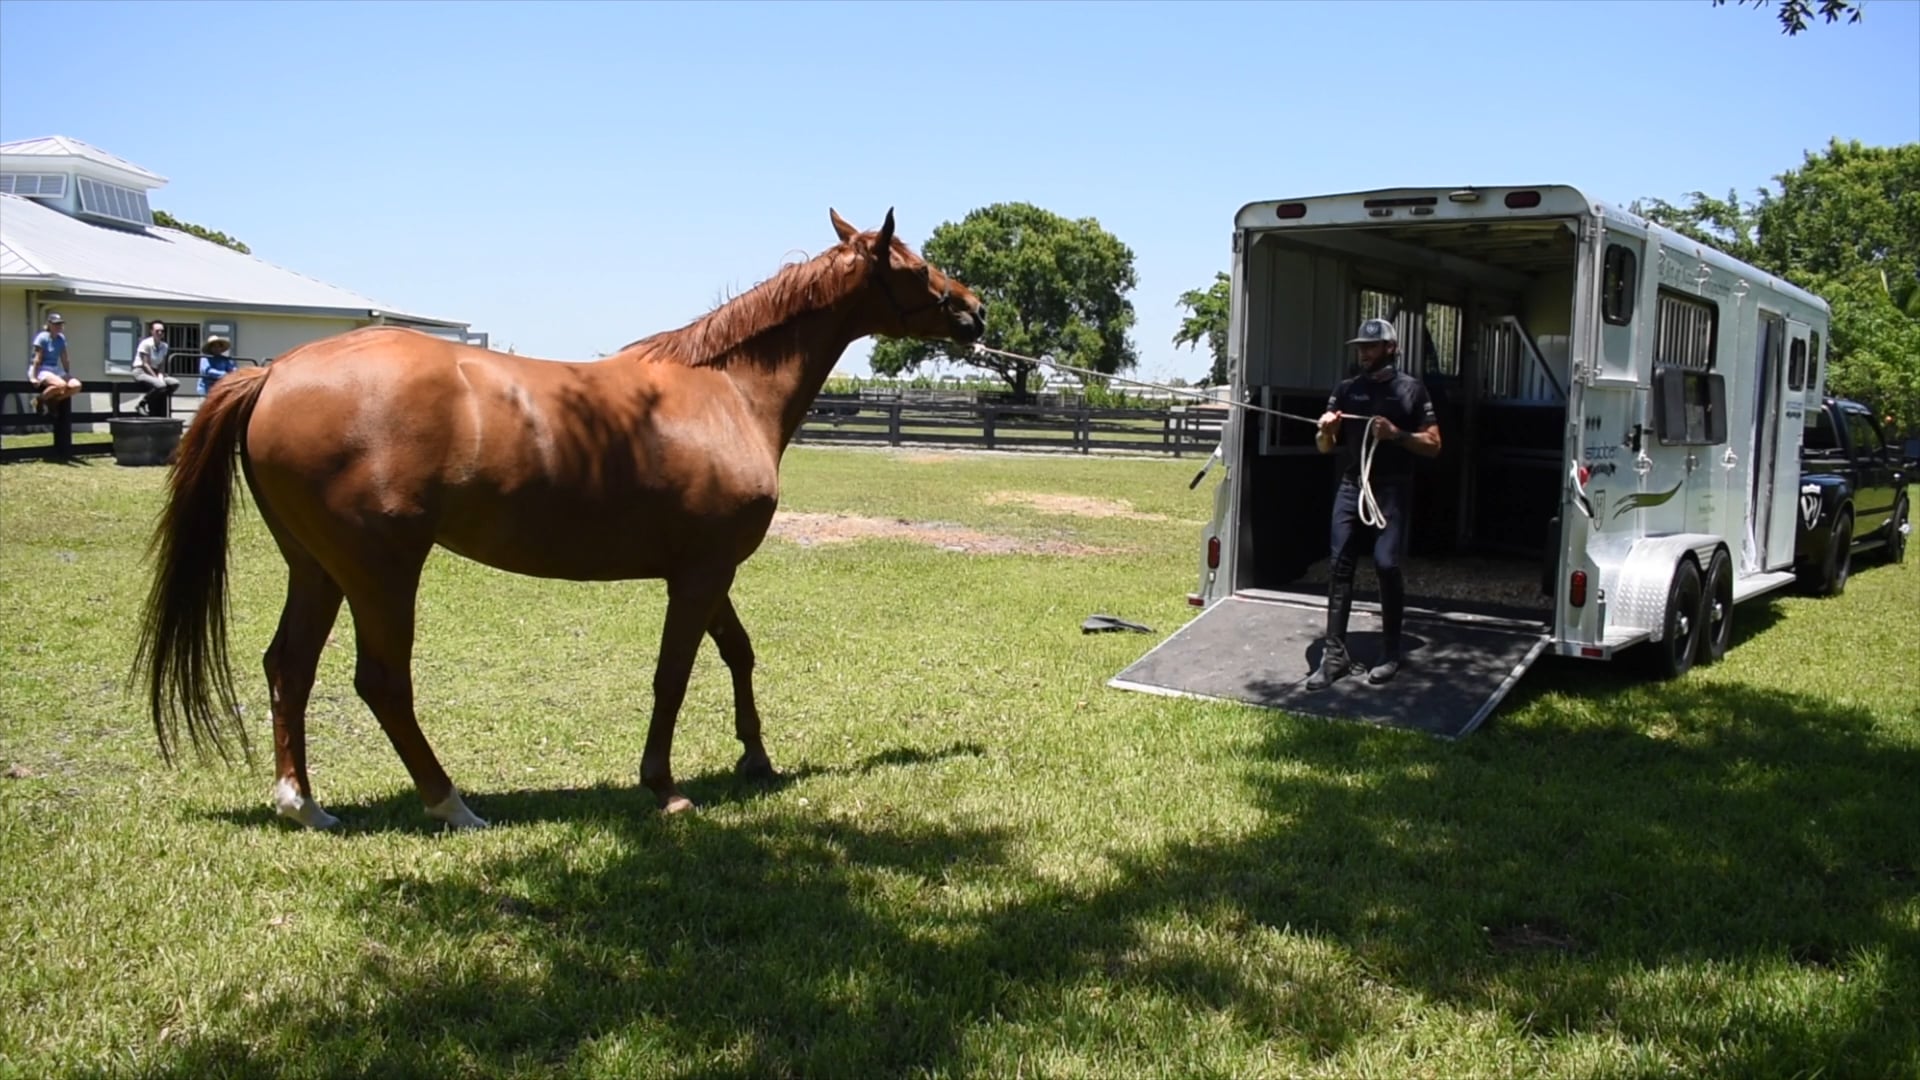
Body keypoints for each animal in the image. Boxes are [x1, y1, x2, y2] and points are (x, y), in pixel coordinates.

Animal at [131, 208, 986, 830]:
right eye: (912, 267)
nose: (975, 310)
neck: (726, 392)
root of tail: (276, 372)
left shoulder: (706, 570)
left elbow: (738, 654)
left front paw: (756, 758)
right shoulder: (700, 573)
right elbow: (674, 674)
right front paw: (665, 787)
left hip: (317, 567)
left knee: (289, 667)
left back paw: (303, 804)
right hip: (382, 571)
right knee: (382, 682)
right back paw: (451, 804)